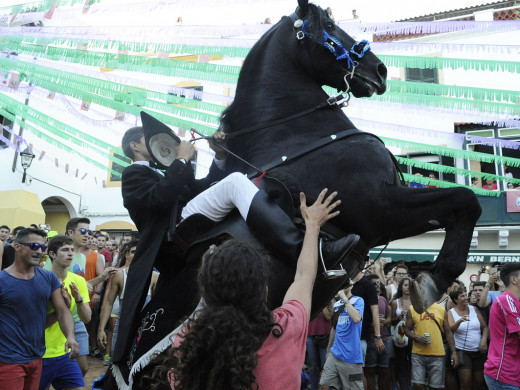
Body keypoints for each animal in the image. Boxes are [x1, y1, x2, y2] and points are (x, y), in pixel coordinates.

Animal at [111, 0, 482, 386]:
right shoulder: (377, 210)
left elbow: (463, 204)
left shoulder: (385, 215)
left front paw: (432, 278)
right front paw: (433, 280)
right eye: (330, 27)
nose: (379, 70)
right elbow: (465, 200)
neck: (293, 136)